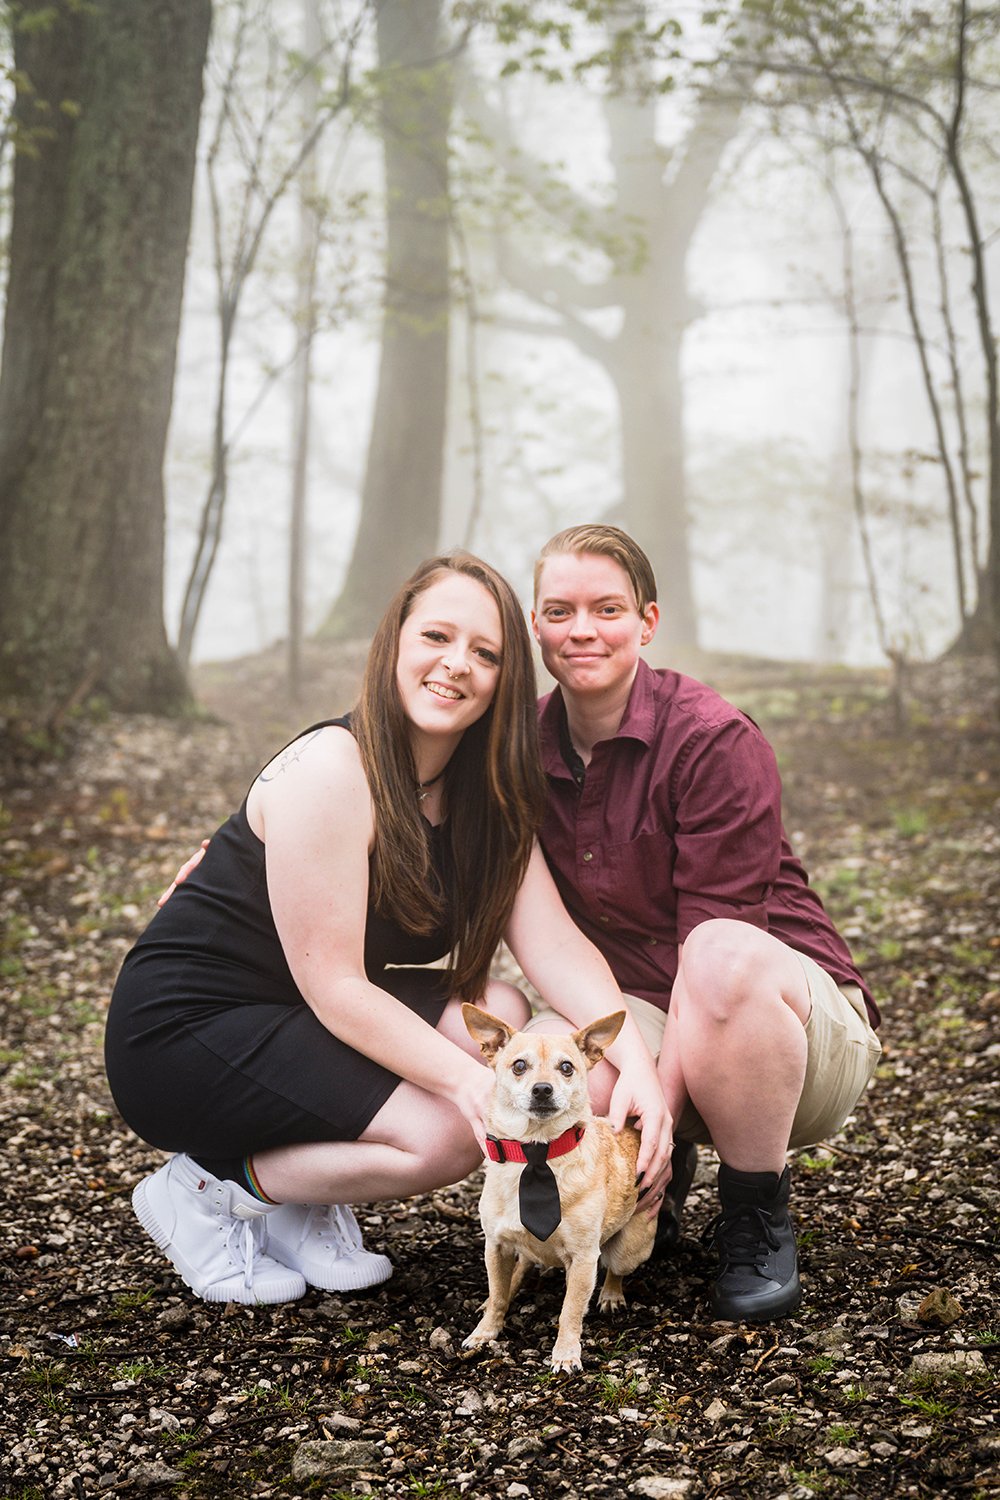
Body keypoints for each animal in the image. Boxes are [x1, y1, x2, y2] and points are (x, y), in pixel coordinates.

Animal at [461, 1008, 656, 1374]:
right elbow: (498, 1293)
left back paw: (610, 1295)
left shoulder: (583, 1259)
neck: (537, 1150)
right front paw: (485, 1331)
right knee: (518, 1269)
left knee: (614, 1270)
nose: (542, 1089)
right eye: (519, 1066)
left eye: (567, 1067)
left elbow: (570, 1310)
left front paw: (566, 1353)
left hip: (628, 1249)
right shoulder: (495, 1246)